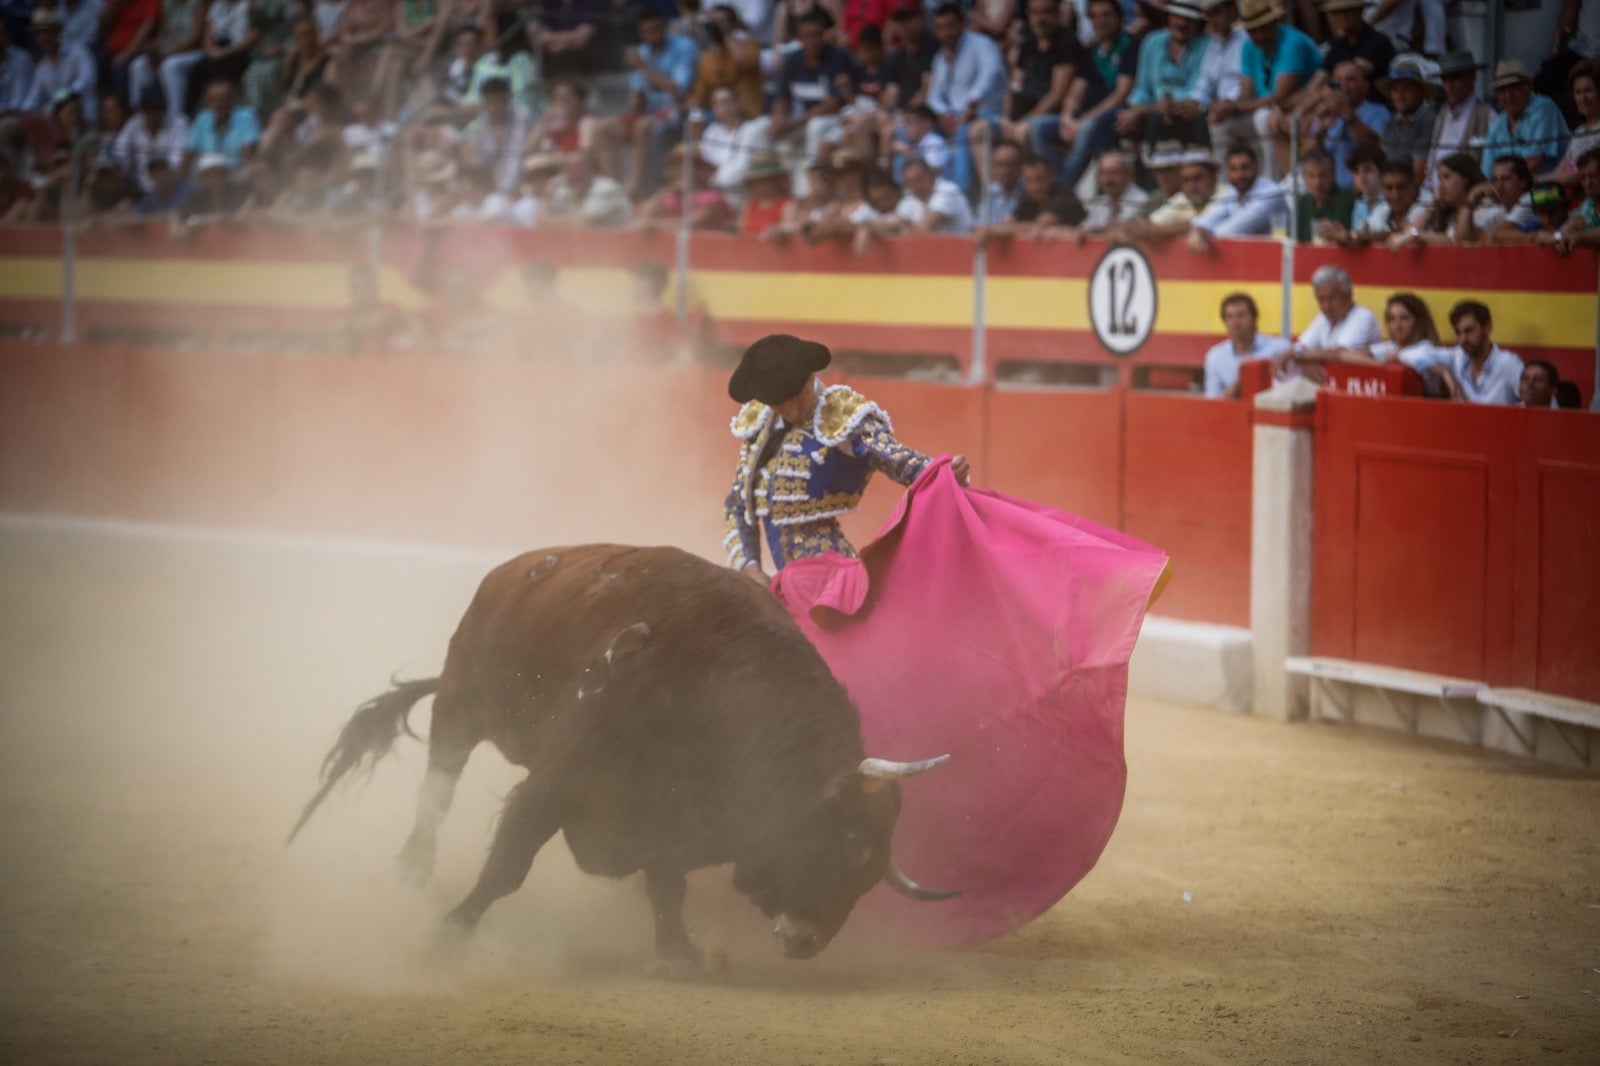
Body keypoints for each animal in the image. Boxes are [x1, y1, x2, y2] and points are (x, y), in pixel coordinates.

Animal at [288, 544, 953, 960]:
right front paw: (452, 930)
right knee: (439, 783)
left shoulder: (672, 821)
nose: (806, 941)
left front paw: (679, 956)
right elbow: (508, 864)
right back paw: (413, 865)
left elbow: (667, 888)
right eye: (851, 841)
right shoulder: (553, 785)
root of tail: (508, 572)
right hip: (461, 703)